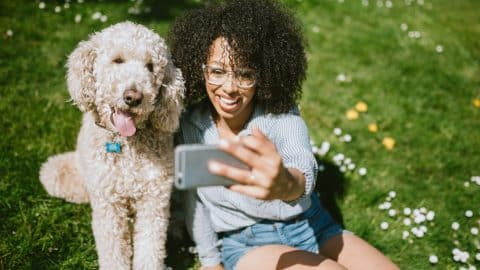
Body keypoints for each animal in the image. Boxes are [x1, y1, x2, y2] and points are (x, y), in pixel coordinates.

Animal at [39, 21, 185, 270]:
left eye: (150, 67)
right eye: (118, 60)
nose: (133, 97)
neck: (126, 144)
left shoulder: (154, 201)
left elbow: (150, 248)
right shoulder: (109, 205)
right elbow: (114, 250)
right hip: (57, 172)